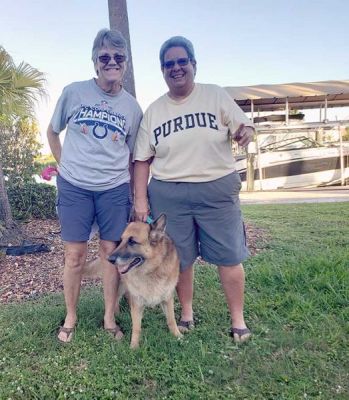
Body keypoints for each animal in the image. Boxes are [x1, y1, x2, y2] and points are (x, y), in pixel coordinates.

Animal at [85, 214, 181, 348]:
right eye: (121, 241)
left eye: (132, 241)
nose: (110, 259)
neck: (151, 270)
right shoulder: (138, 302)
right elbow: (136, 327)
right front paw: (134, 346)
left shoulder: (167, 298)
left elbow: (171, 320)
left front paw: (178, 336)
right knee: (115, 299)